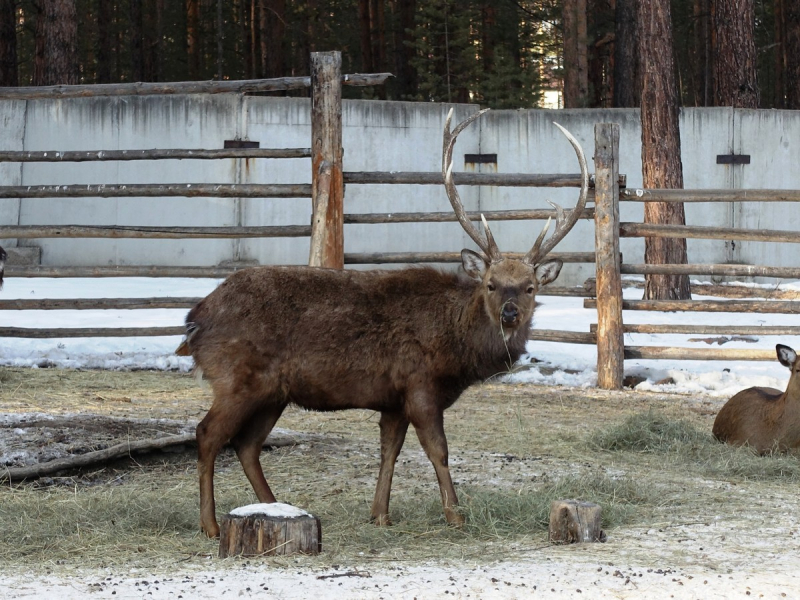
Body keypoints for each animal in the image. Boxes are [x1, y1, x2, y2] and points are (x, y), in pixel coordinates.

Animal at [177, 109, 588, 540]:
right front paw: (455, 515)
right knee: (208, 434)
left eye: (529, 287)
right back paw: (211, 525)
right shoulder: (419, 385)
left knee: (247, 445)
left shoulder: (393, 399)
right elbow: (438, 450)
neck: (456, 352)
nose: (510, 314)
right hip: (237, 379)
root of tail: (194, 320)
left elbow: (389, 450)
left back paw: (276, 507)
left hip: (273, 392)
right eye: (491, 284)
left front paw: (380, 514)